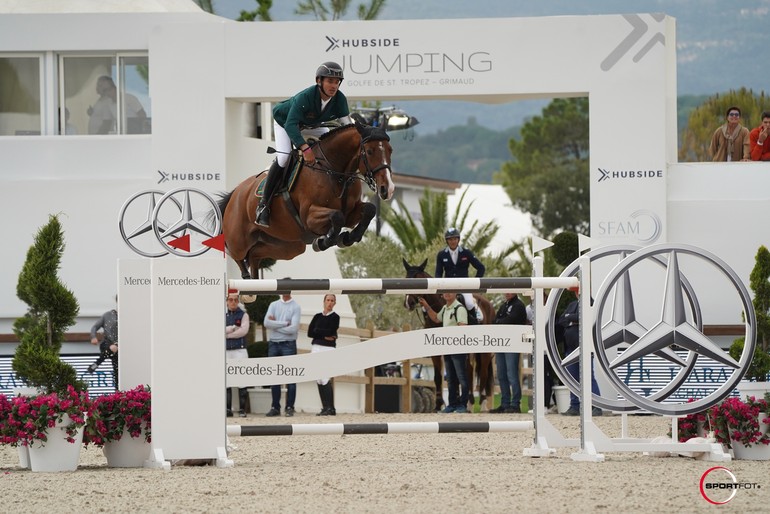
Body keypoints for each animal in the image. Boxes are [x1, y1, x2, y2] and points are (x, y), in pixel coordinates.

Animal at [216, 122, 396, 278]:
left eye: (390, 150)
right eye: (370, 151)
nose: (387, 188)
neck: (335, 172)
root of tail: (236, 192)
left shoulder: (351, 214)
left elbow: (369, 210)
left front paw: (348, 238)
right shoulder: (310, 217)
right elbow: (337, 216)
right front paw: (324, 241)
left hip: (289, 246)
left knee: (254, 254)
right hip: (239, 239)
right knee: (236, 253)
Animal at [400, 258, 496, 410]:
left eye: (417, 280)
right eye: (405, 279)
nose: (408, 303)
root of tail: (489, 305)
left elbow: (455, 377)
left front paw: (453, 402)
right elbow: (439, 377)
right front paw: (439, 405)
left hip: (484, 351)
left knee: (483, 372)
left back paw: (482, 403)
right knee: (469, 371)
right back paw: (469, 402)